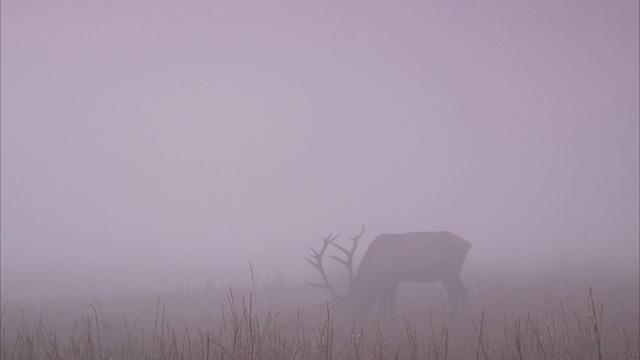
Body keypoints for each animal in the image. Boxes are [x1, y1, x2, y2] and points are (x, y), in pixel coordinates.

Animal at [308, 226, 472, 320]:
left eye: (351, 309)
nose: (350, 326)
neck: (374, 271)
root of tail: (467, 243)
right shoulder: (384, 284)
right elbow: (383, 304)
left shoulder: (391, 280)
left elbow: (390, 307)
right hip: (452, 272)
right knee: (462, 291)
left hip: (448, 271)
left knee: (459, 292)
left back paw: (455, 319)